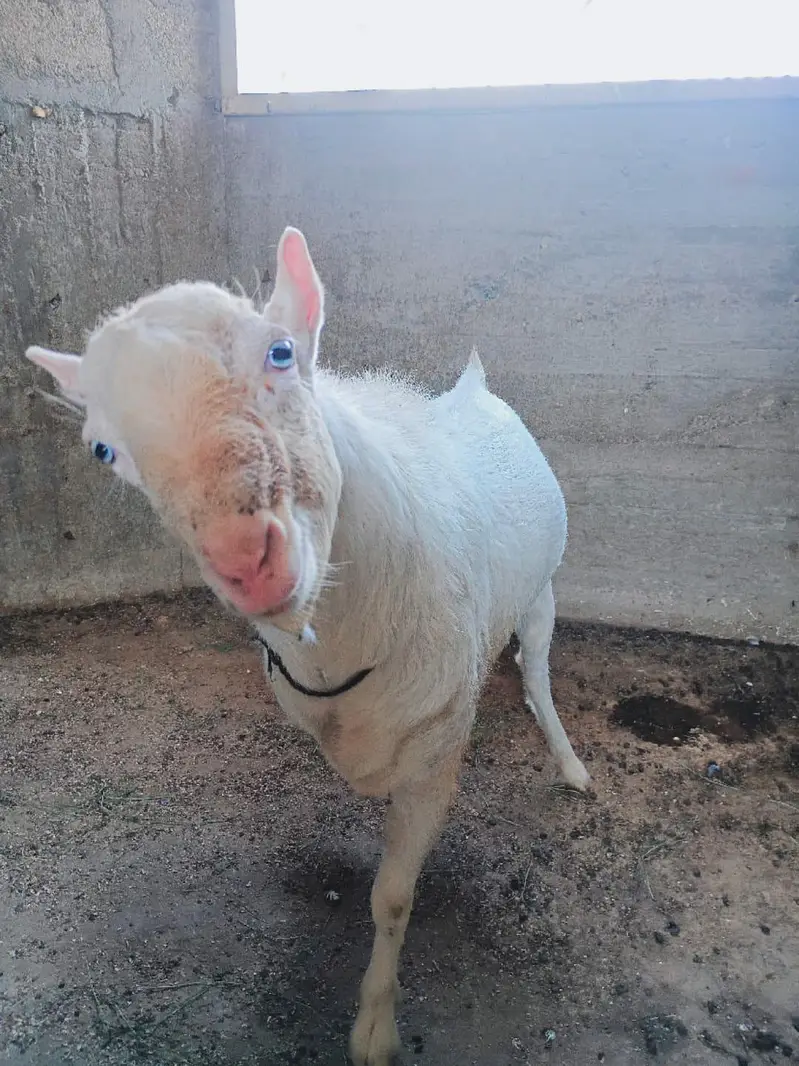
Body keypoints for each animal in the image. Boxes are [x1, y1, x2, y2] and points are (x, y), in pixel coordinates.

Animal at [26, 227, 590, 1065]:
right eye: (103, 450)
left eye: (281, 352)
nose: (245, 557)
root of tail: (472, 390)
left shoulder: (433, 758)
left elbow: (392, 898)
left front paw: (374, 1030)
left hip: (543, 591)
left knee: (537, 672)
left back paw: (571, 763)